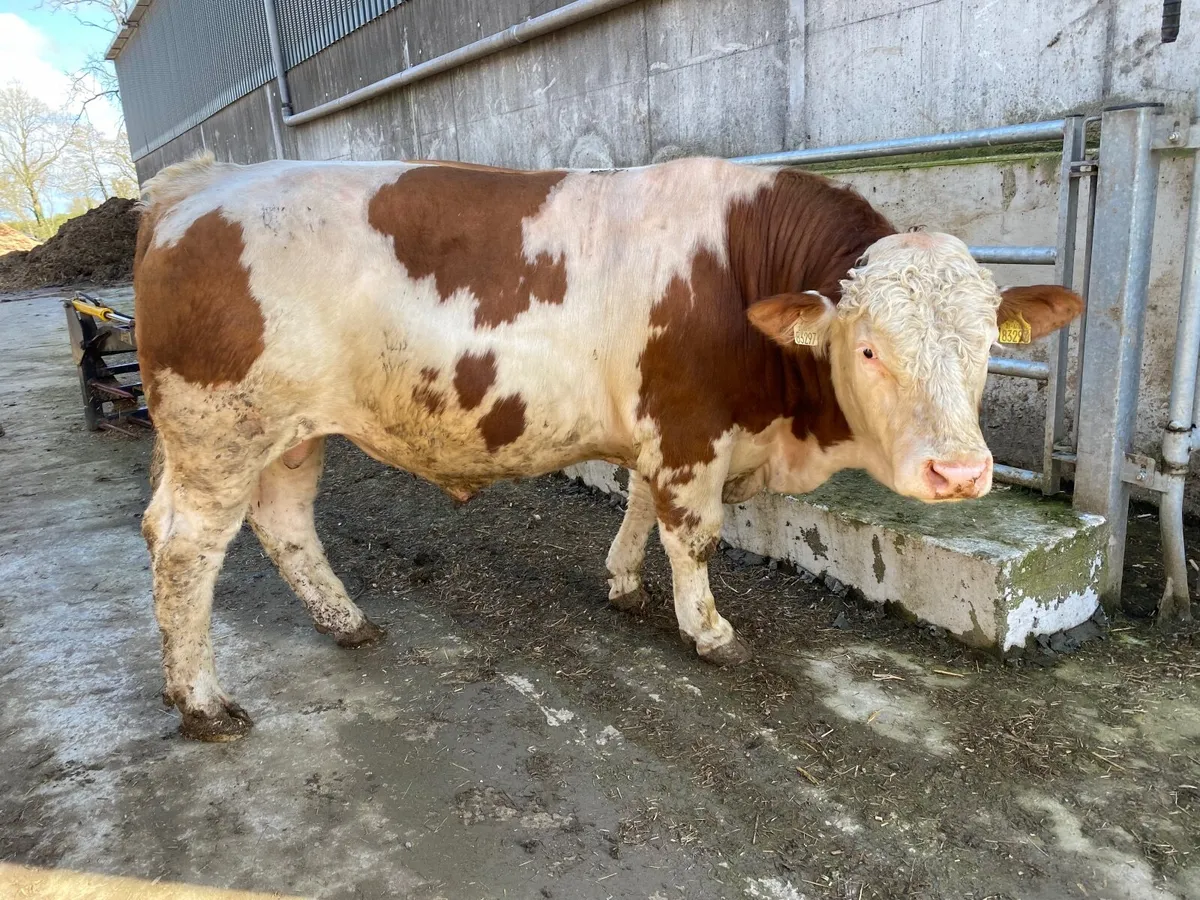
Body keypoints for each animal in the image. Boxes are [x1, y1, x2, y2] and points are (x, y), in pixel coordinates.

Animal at [134, 153, 1083, 741]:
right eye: (870, 349)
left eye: (988, 345)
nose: (959, 471)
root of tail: (198, 182)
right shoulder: (692, 431)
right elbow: (693, 536)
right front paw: (709, 630)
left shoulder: (660, 433)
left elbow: (635, 504)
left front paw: (624, 584)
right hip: (219, 432)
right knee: (185, 548)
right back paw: (203, 701)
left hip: (289, 437)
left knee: (285, 524)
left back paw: (348, 624)